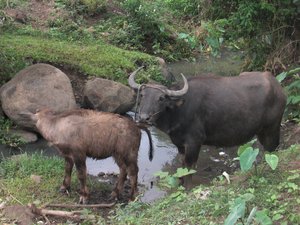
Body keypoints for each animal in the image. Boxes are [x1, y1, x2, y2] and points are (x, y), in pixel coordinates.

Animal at [22, 108, 154, 204]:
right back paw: (115, 193)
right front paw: (64, 187)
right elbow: (67, 170)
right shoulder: (68, 156)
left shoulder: (79, 154)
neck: (58, 126)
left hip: (129, 154)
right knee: (123, 170)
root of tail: (136, 126)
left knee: (133, 173)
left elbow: (81, 175)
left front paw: (84, 196)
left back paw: (132, 198)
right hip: (118, 154)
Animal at [128, 67, 286, 181]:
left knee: (273, 150)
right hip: (262, 132)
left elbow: (189, 171)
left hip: (272, 129)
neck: (179, 110)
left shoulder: (194, 143)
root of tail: (277, 86)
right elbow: (181, 169)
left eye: (161, 98)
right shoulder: (180, 145)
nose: (144, 118)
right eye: (142, 95)